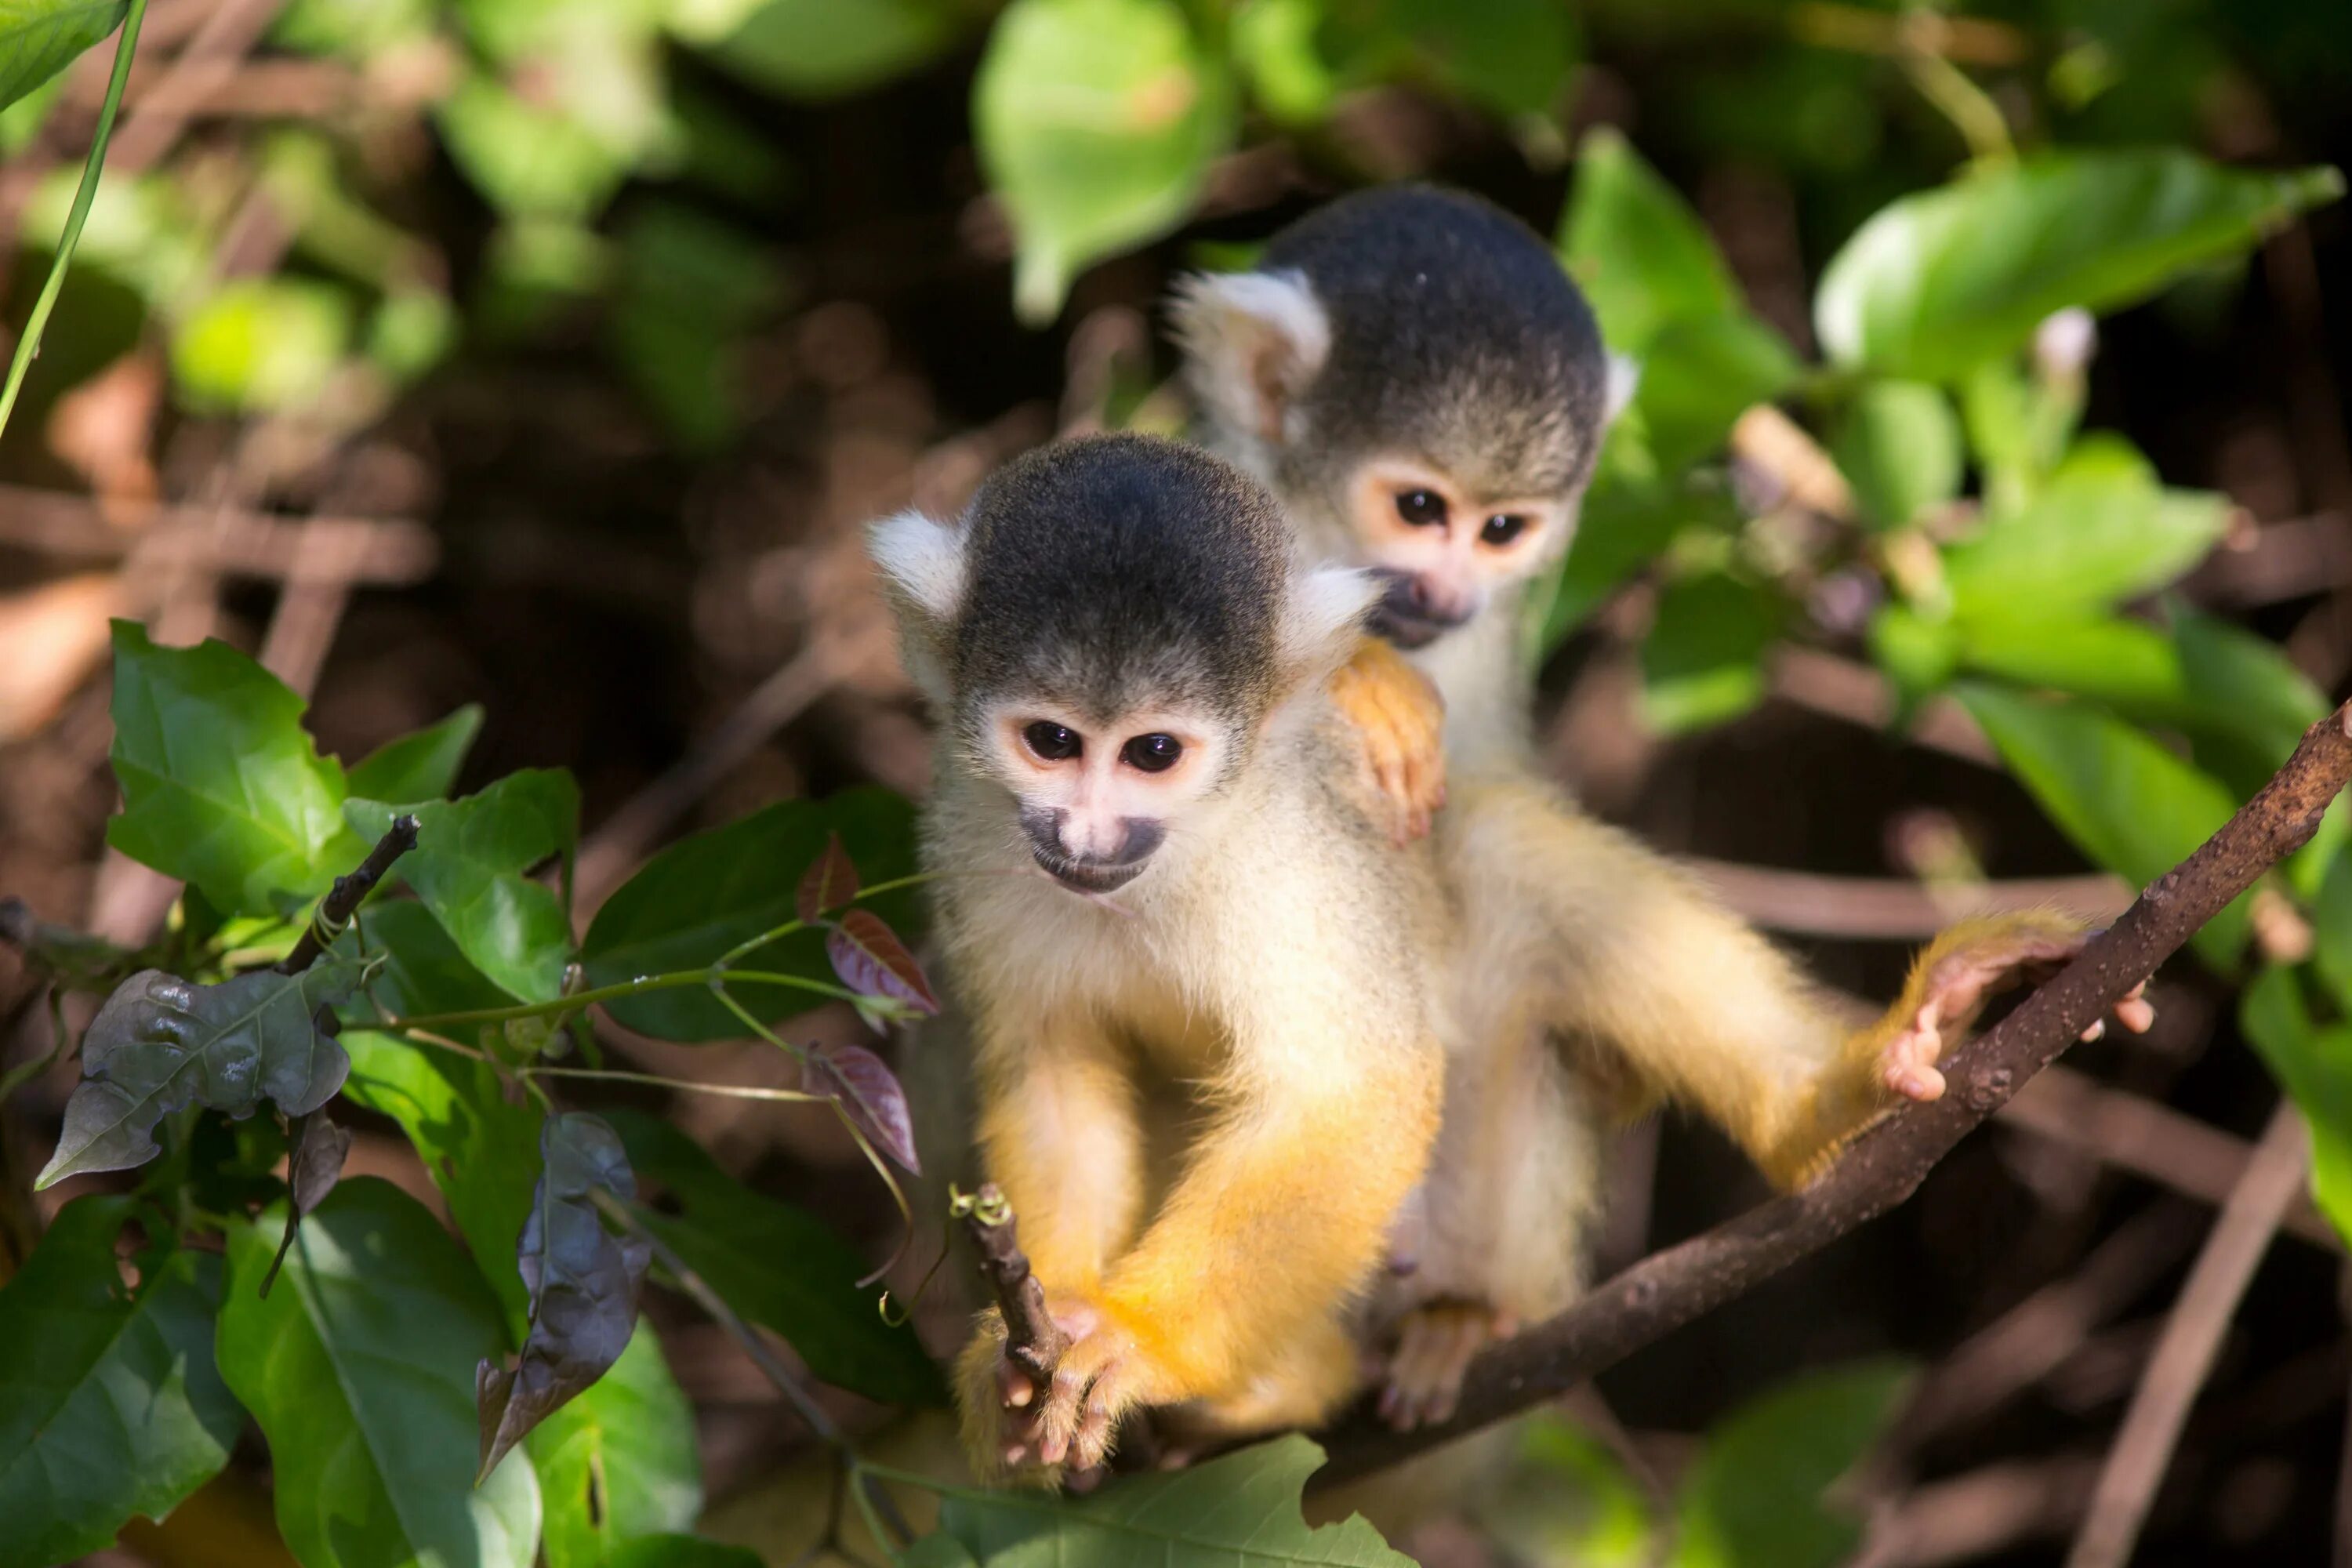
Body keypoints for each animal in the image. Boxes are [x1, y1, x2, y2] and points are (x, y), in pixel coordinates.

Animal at [866, 432, 1449, 1486]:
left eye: (1153, 753)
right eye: (1053, 740)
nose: (1086, 836)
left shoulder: (1300, 844)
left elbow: (1354, 1092)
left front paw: (1132, 1339)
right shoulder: (970, 831)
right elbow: (1052, 1066)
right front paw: (1020, 1354)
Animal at [1167, 180, 2154, 1420]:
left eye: (1502, 528)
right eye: (1417, 506)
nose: (1443, 591)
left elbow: (1489, 786)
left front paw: (1624, 1078)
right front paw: (1363, 680)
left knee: (1492, 847)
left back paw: (1819, 1108)